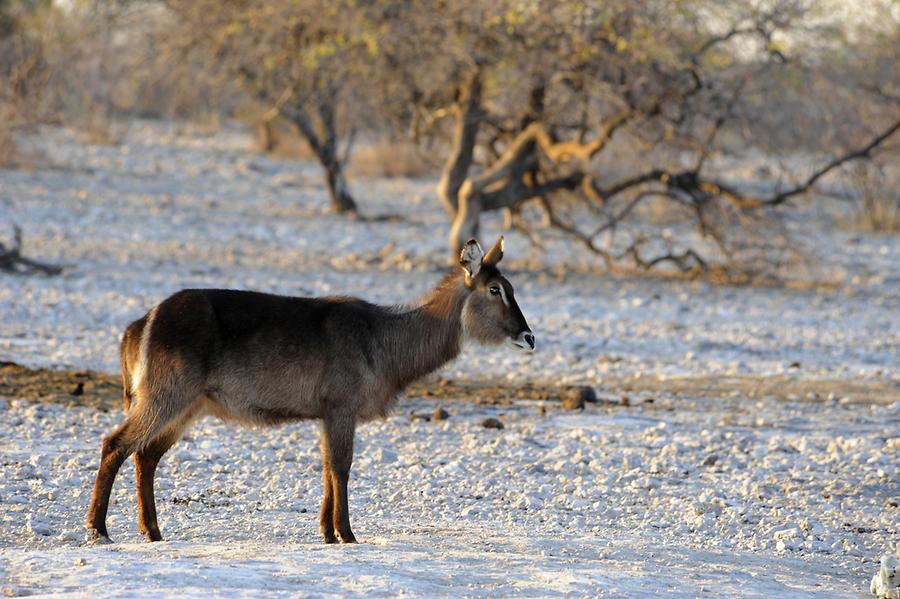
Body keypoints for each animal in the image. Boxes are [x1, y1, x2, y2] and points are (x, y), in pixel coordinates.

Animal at [85, 237, 532, 548]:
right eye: (495, 289)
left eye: (510, 286)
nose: (529, 337)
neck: (385, 340)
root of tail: (138, 324)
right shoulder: (342, 407)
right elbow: (342, 467)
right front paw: (347, 534)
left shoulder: (326, 413)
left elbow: (326, 469)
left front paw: (328, 534)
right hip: (166, 397)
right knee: (115, 445)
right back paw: (99, 530)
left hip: (187, 407)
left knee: (145, 456)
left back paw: (153, 532)